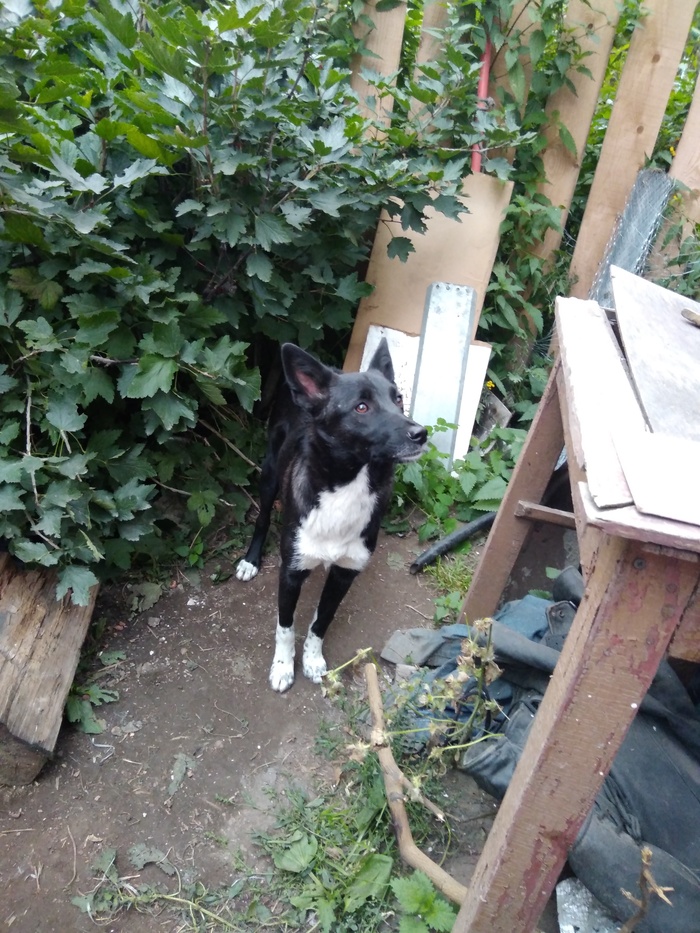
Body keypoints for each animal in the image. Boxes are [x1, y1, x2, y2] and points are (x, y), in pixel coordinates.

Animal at [236, 339, 427, 692]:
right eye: (361, 407)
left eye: (398, 399)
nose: (421, 433)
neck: (347, 486)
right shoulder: (291, 571)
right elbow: (285, 625)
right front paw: (283, 667)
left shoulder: (345, 573)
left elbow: (320, 621)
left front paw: (312, 660)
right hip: (270, 472)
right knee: (262, 516)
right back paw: (250, 560)